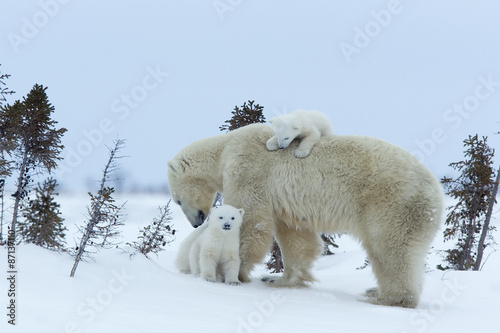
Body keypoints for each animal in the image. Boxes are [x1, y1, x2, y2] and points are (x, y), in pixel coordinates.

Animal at [168, 123, 442, 308]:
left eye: (178, 200)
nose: (196, 223)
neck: (224, 148)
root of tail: (435, 192)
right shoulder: (286, 203)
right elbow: (296, 238)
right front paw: (278, 279)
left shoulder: (248, 170)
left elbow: (252, 222)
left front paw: (232, 275)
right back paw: (375, 291)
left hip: (389, 203)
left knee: (389, 249)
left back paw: (385, 298)